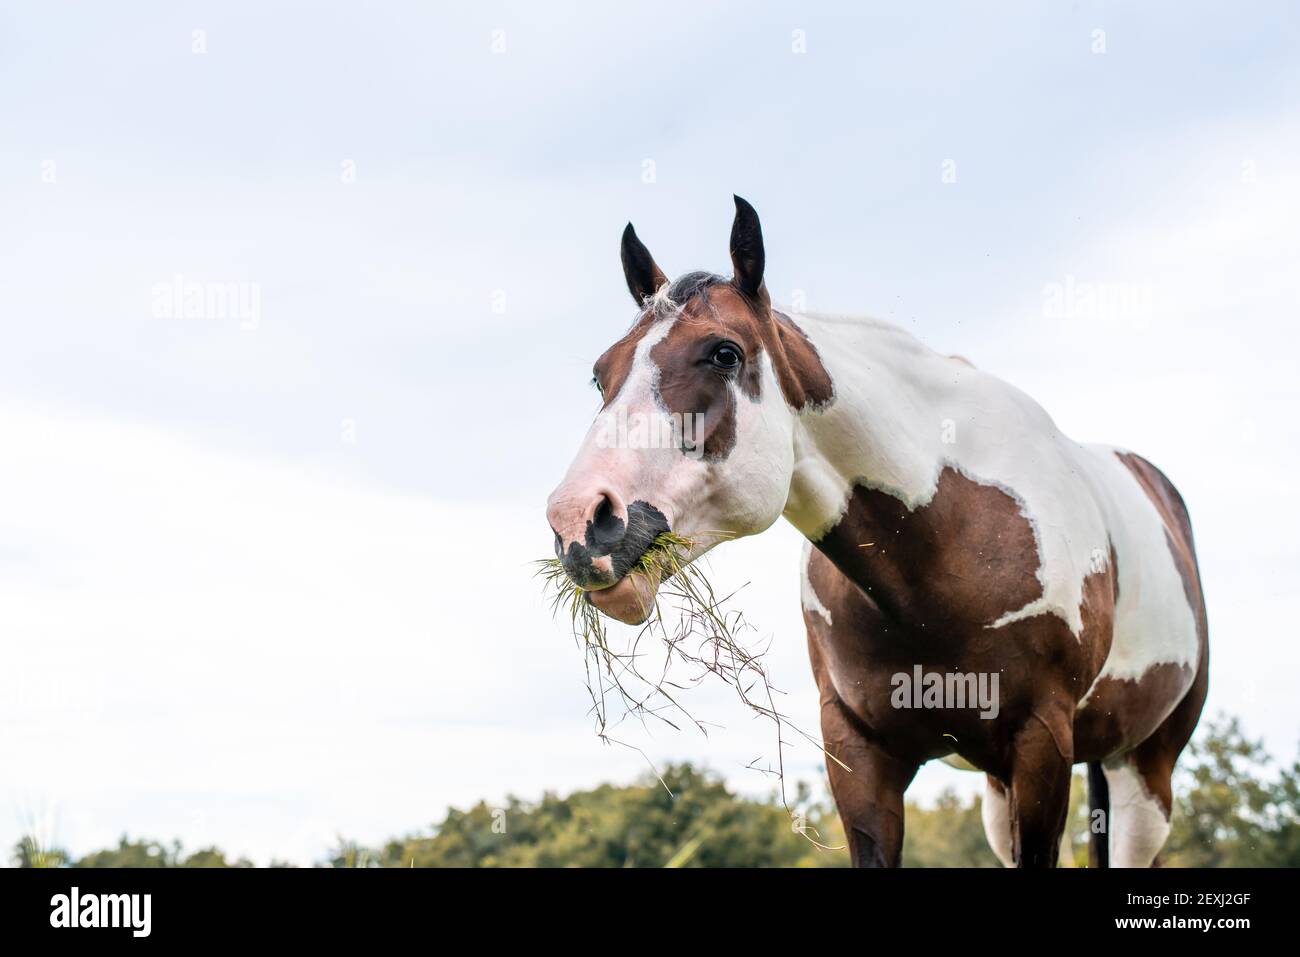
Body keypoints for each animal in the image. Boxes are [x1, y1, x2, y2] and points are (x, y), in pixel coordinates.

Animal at [545, 196, 1208, 868]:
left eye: (724, 352)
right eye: (601, 375)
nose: (579, 522)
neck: (942, 544)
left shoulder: (1041, 741)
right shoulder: (858, 751)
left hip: (1143, 772)